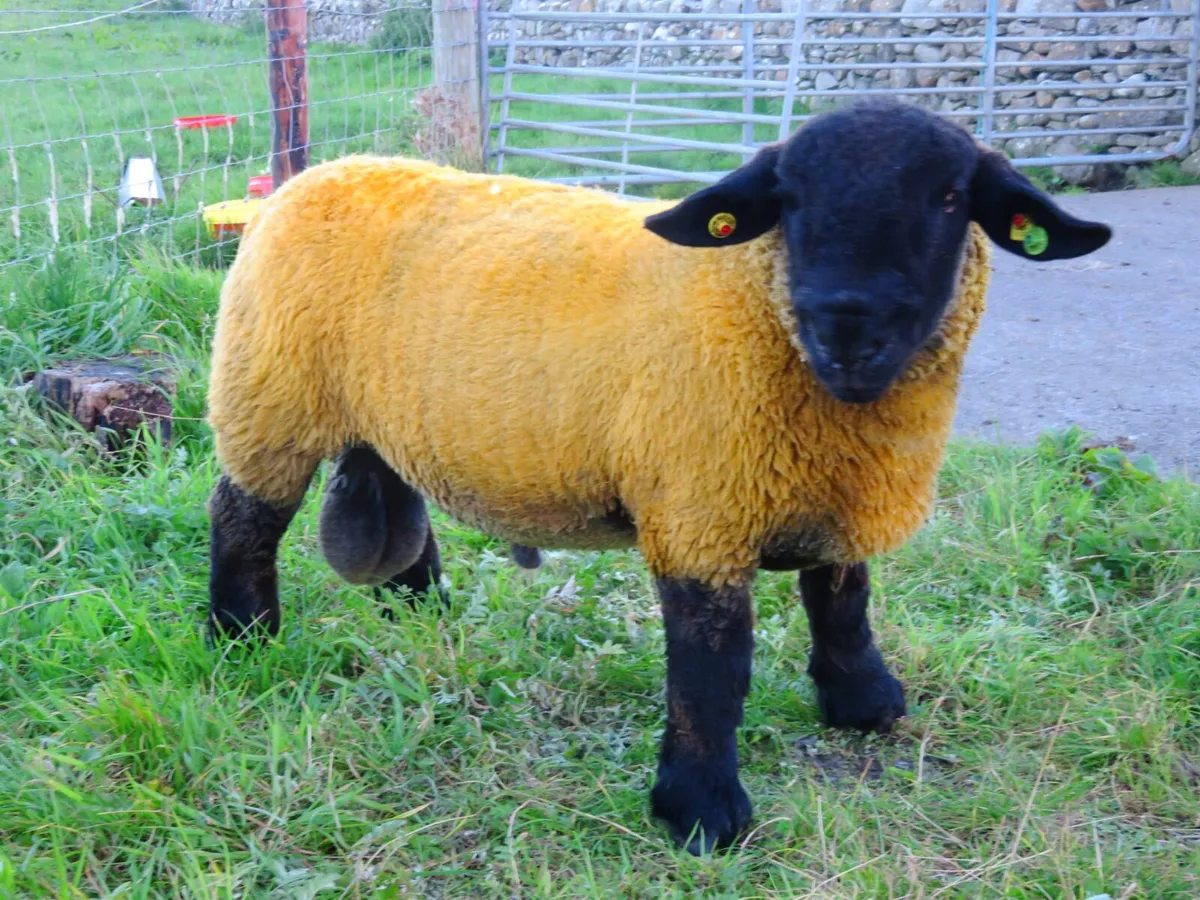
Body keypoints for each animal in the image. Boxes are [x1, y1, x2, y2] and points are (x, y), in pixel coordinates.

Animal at [204, 98, 1112, 855]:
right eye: (790, 198)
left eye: (953, 198)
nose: (846, 331)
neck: (754, 299)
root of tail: (321, 172)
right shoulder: (700, 508)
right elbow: (711, 672)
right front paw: (701, 811)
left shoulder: (831, 498)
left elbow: (843, 602)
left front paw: (864, 704)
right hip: (266, 398)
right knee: (242, 519)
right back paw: (241, 638)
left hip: (379, 418)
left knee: (394, 507)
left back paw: (425, 612)